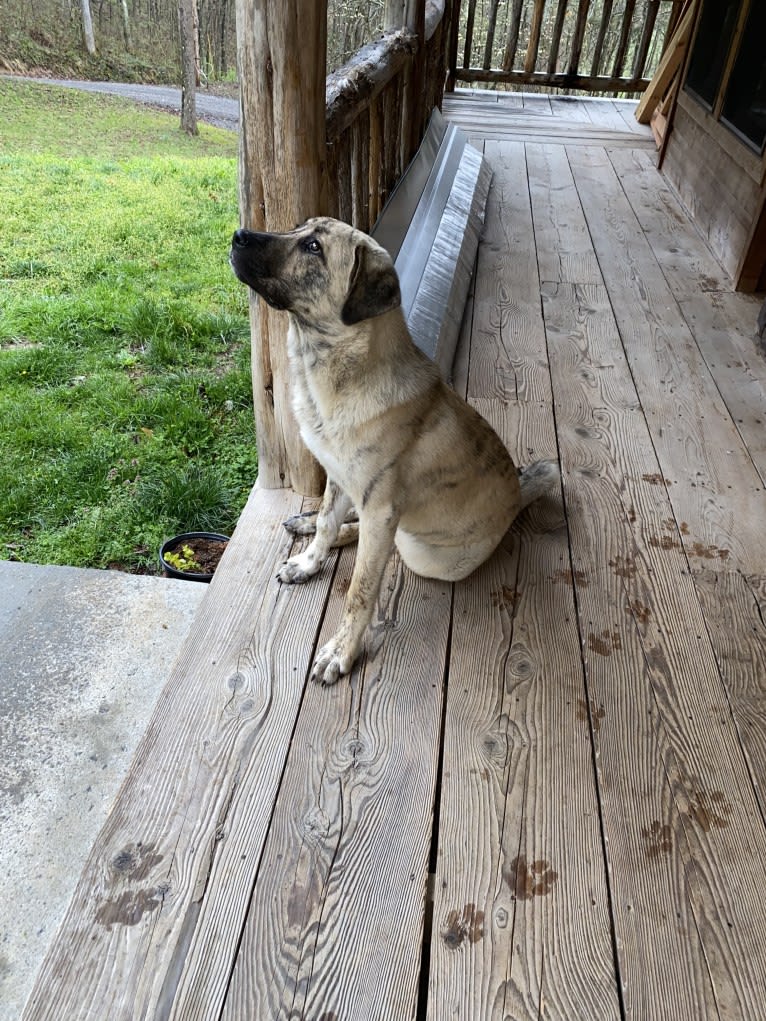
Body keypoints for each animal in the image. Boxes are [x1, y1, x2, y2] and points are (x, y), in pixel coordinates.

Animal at [230, 218, 559, 682]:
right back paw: (307, 524)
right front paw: (310, 560)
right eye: (298, 229)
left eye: (313, 248)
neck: (335, 375)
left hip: (421, 550)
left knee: (390, 548)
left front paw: (341, 652)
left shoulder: (380, 507)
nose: (238, 236)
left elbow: (361, 590)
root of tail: (517, 495)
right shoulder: (339, 478)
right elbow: (329, 524)